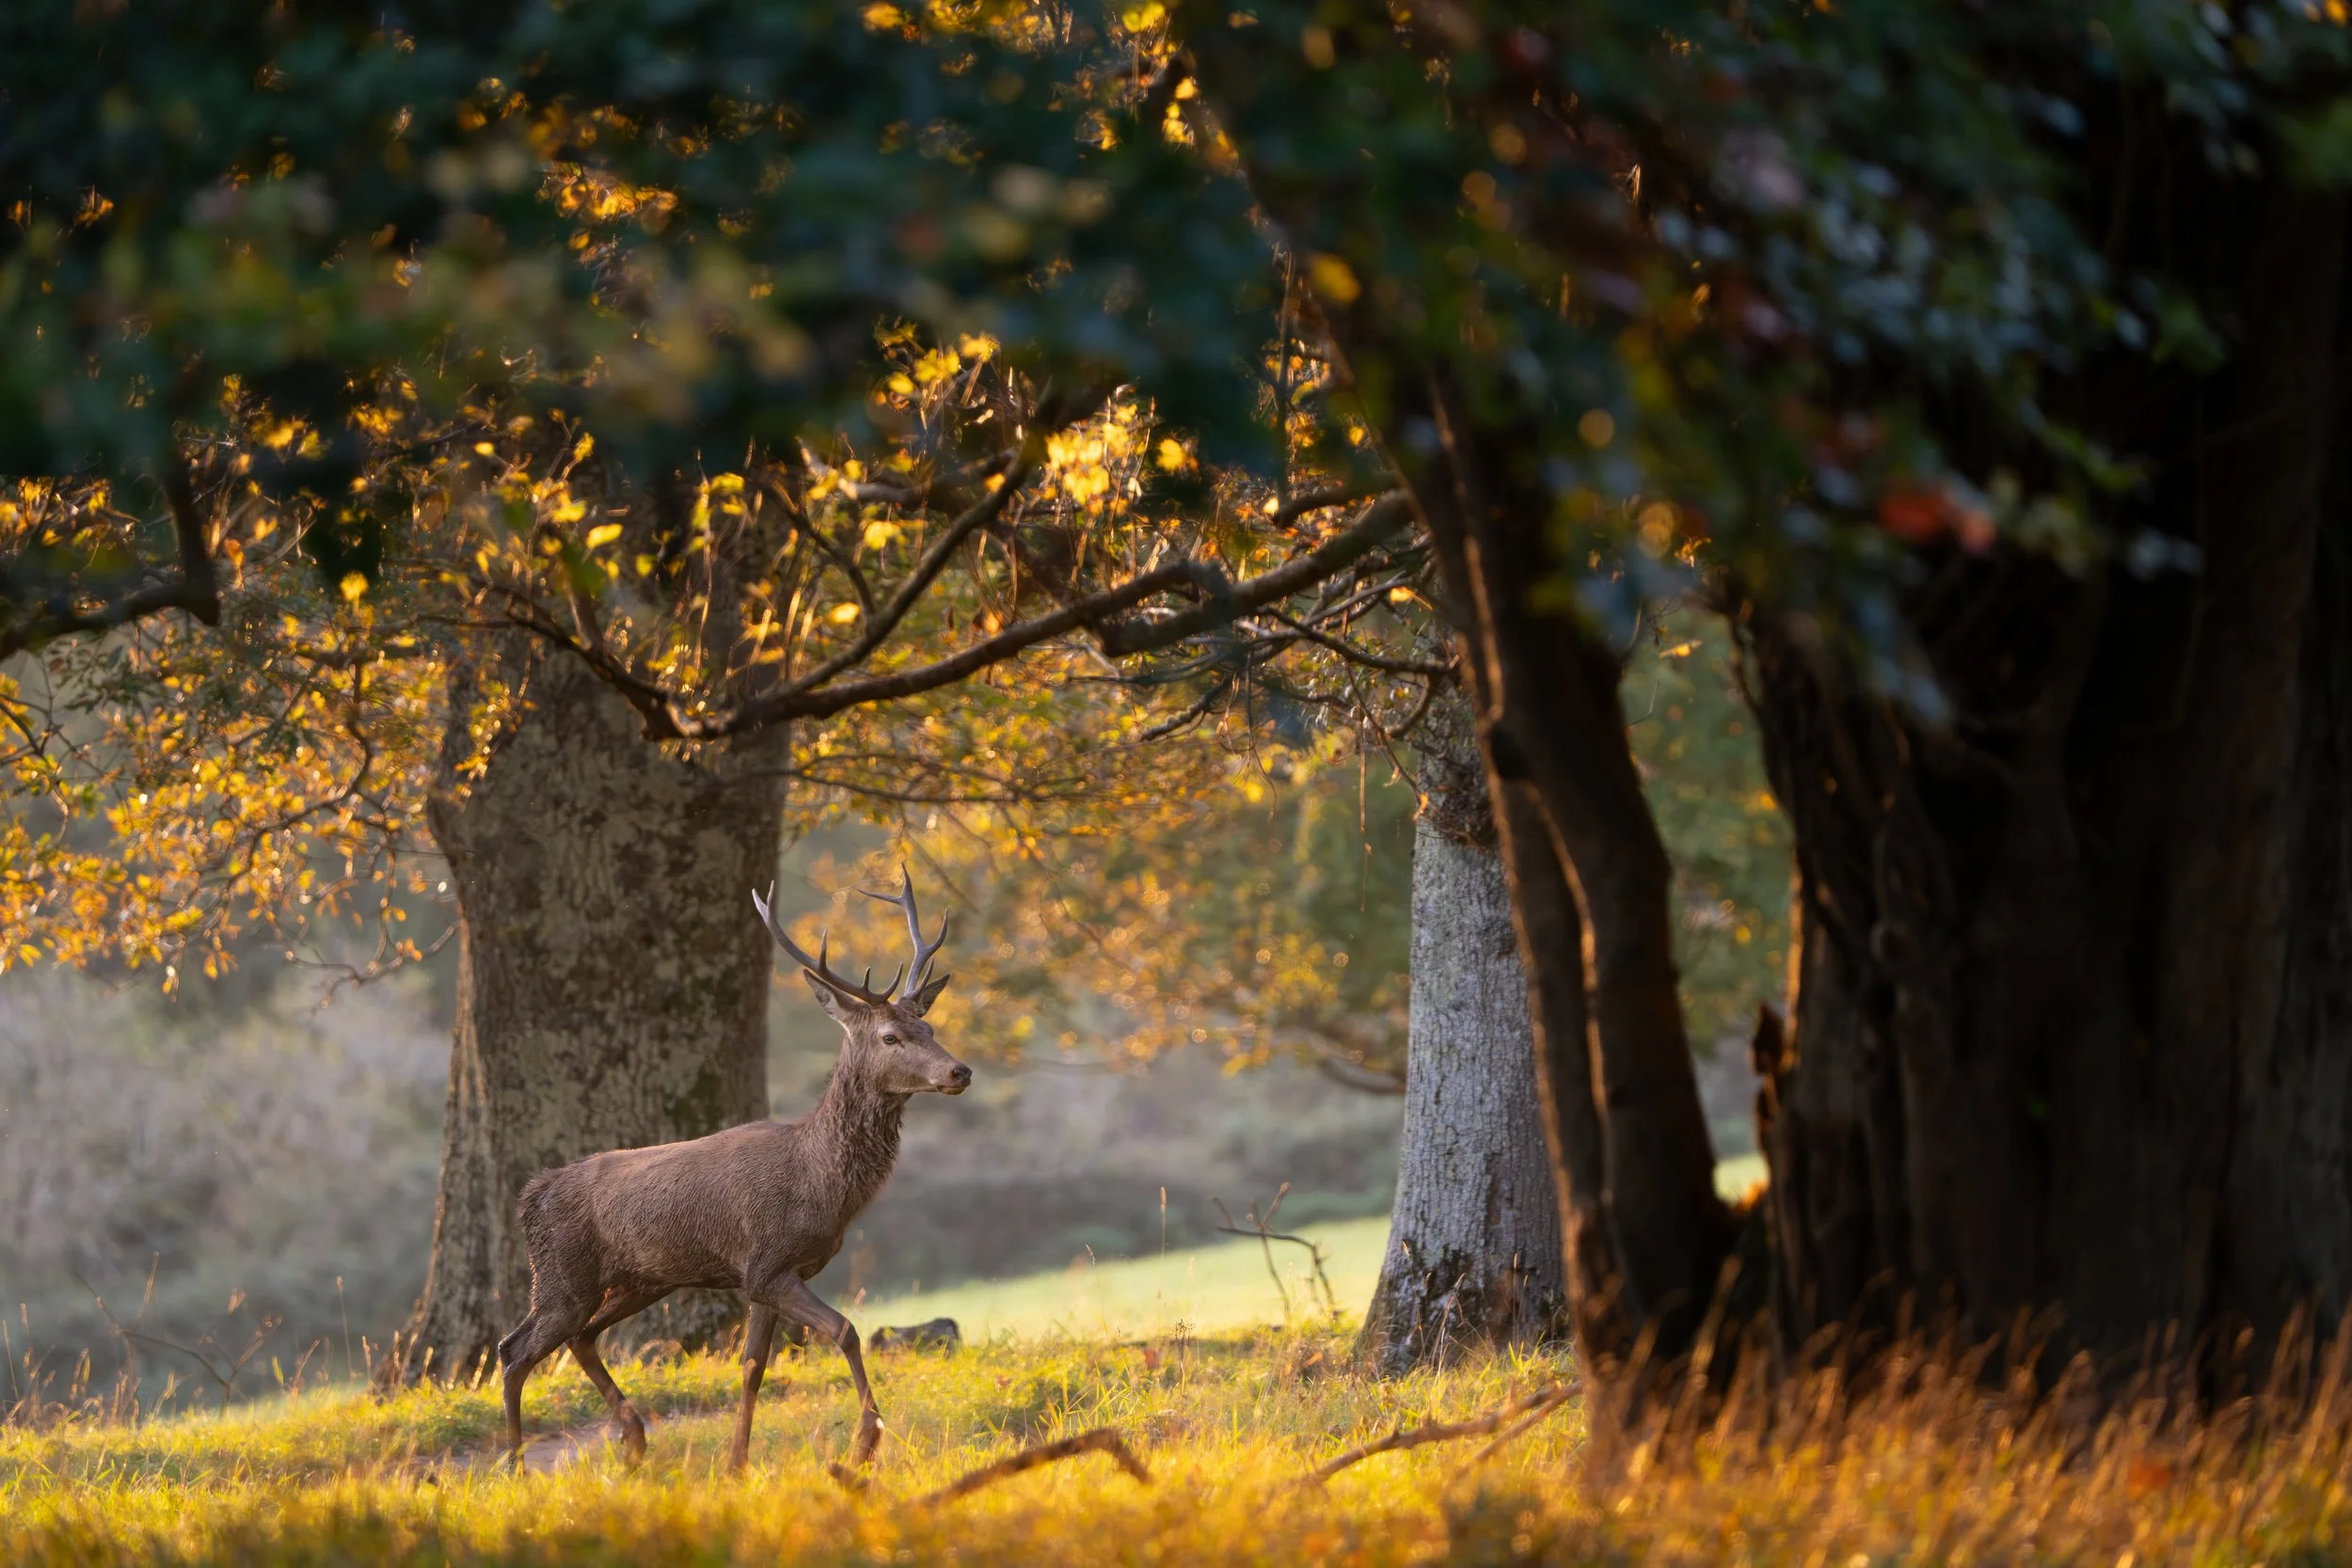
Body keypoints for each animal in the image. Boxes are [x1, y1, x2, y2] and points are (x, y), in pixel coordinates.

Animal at [494, 869, 970, 1472]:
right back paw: (517, 1469)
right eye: (891, 1037)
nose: (960, 1071)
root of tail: (532, 1193)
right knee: (515, 1350)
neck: (820, 1183)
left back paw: (634, 1439)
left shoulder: (765, 1277)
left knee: (579, 1339)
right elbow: (845, 1331)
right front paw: (866, 1440)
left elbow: (752, 1368)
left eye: (929, 1028)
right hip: (561, 1275)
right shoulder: (767, 1264)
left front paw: (737, 1464)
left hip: (637, 1280)